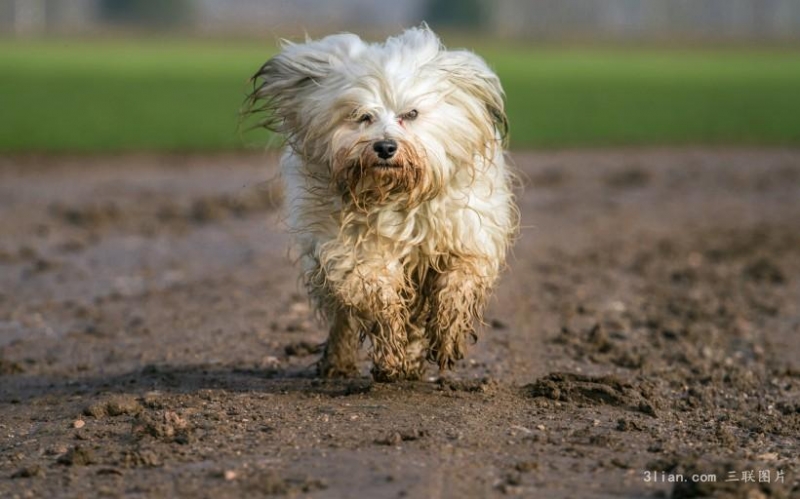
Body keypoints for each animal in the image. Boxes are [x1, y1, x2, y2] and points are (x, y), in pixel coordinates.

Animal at [245, 24, 520, 382]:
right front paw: (391, 356)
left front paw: (447, 337)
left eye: (411, 114)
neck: (396, 196)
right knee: (345, 317)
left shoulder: (467, 237)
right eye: (362, 116)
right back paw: (340, 362)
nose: (386, 147)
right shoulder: (353, 252)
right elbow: (378, 299)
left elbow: (459, 283)